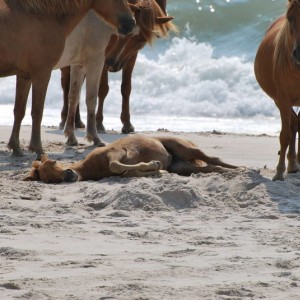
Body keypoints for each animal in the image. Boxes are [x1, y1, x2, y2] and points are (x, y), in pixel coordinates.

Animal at [2, 0, 135, 158]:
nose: (131, 23)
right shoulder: (46, 72)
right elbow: (38, 111)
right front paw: (38, 149)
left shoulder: (26, 75)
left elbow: (20, 110)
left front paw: (16, 148)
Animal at [59, 0, 175, 134]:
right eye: (122, 34)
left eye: (140, 40)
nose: (112, 63)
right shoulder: (103, 55)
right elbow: (103, 89)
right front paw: (99, 123)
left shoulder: (131, 57)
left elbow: (126, 88)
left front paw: (127, 124)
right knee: (66, 84)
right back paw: (64, 119)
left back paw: (77, 121)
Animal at [254, 0, 300, 180]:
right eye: (290, 18)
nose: (298, 54)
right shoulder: (283, 100)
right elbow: (285, 135)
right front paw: (279, 172)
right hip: (278, 100)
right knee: (294, 125)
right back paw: (292, 165)